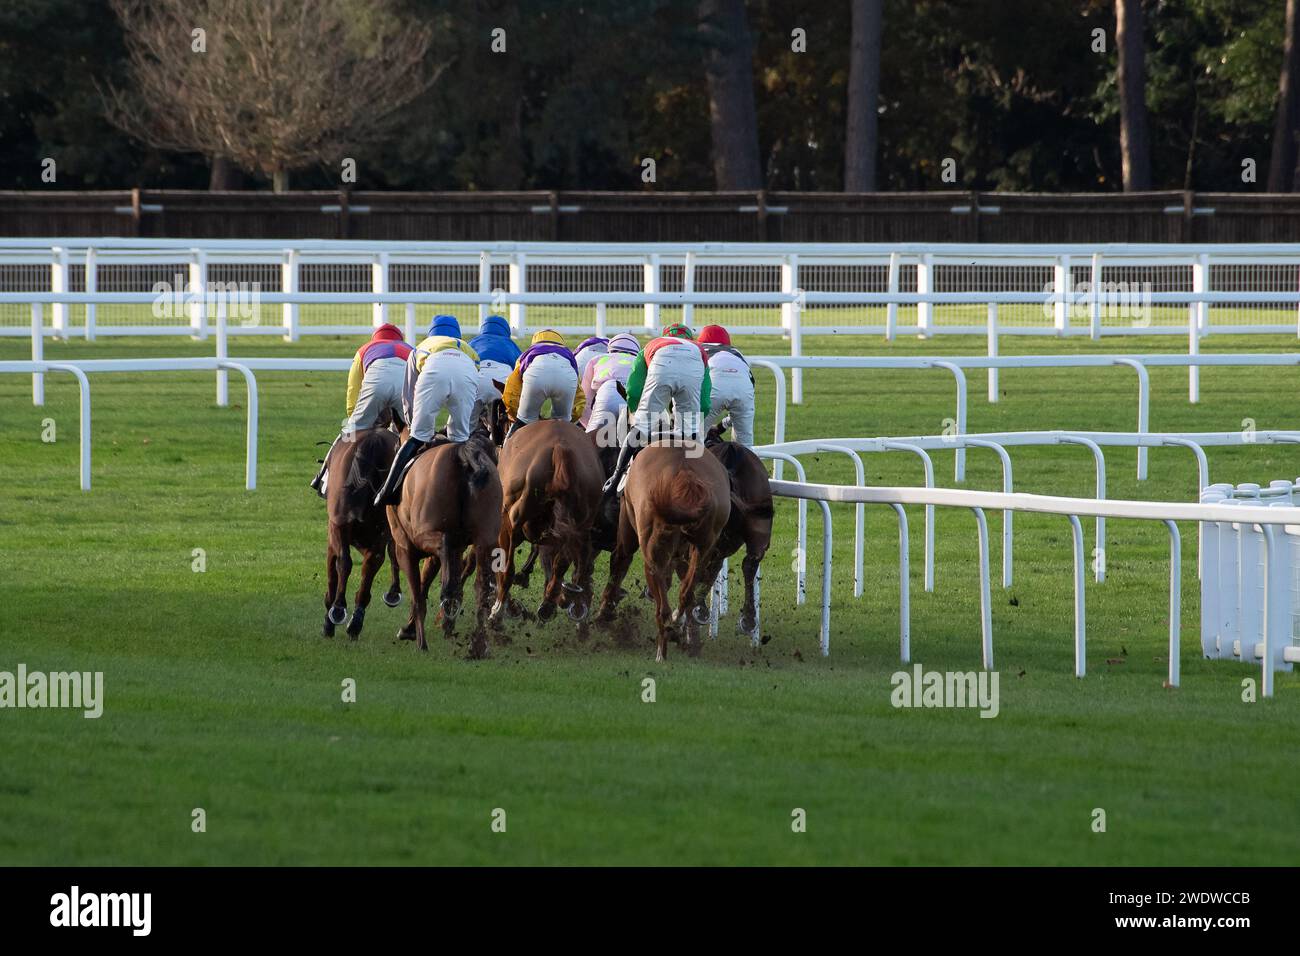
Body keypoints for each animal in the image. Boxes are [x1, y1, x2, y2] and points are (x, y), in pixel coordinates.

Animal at [321, 429, 397, 639]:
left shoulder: (333, 535)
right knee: (370, 566)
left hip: (340, 527)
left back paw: (339, 610)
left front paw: (329, 621)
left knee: (345, 563)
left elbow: (333, 574)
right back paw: (355, 622)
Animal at [384, 429, 501, 658]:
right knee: (483, 588)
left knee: (444, 550)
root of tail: (463, 455)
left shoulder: (405, 549)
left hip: (426, 537)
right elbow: (426, 584)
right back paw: (478, 645)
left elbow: (418, 593)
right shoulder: (456, 549)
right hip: (485, 543)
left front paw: (417, 637)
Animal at [488, 421, 605, 632]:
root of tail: (560, 449)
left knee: (508, 570)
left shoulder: (505, 525)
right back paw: (552, 605)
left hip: (512, 522)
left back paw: (498, 612)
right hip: (580, 524)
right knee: (562, 564)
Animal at [595, 439, 733, 658]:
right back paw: (678, 628)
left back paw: (663, 646)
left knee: (662, 604)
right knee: (686, 592)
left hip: (651, 551)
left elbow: (620, 562)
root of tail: (685, 475)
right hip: (703, 547)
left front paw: (604, 613)